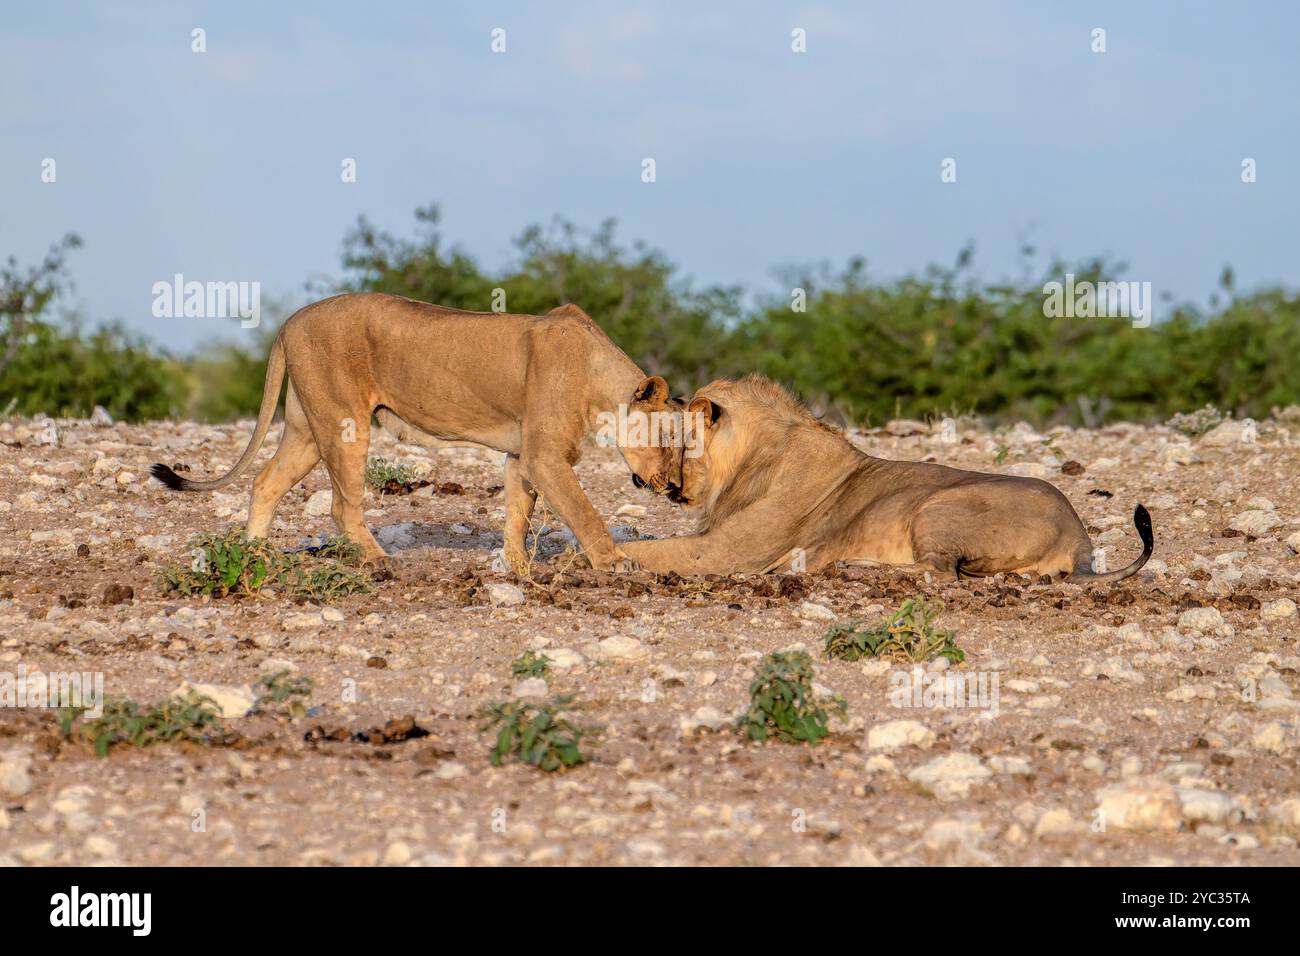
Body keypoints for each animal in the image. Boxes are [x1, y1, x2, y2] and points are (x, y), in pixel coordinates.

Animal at [152, 293, 681, 567]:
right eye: (670, 440)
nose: (674, 488)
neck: (599, 380)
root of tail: (288, 321)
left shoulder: (521, 454)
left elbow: (518, 511)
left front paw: (516, 567)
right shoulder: (546, 456)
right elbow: (584, 512)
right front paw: (615, 561)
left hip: (306, 428)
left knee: (265, 482)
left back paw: (254, 555)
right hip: (344, 423)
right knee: (342, 507)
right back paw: (380, 560)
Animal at [624, 374, 1154, 582]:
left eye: (678, 439)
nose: (662, 484)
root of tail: (1078, 532)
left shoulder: (730, 553)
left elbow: (653, 551)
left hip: (936, 509)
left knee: (940, 572)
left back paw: (852, 565)